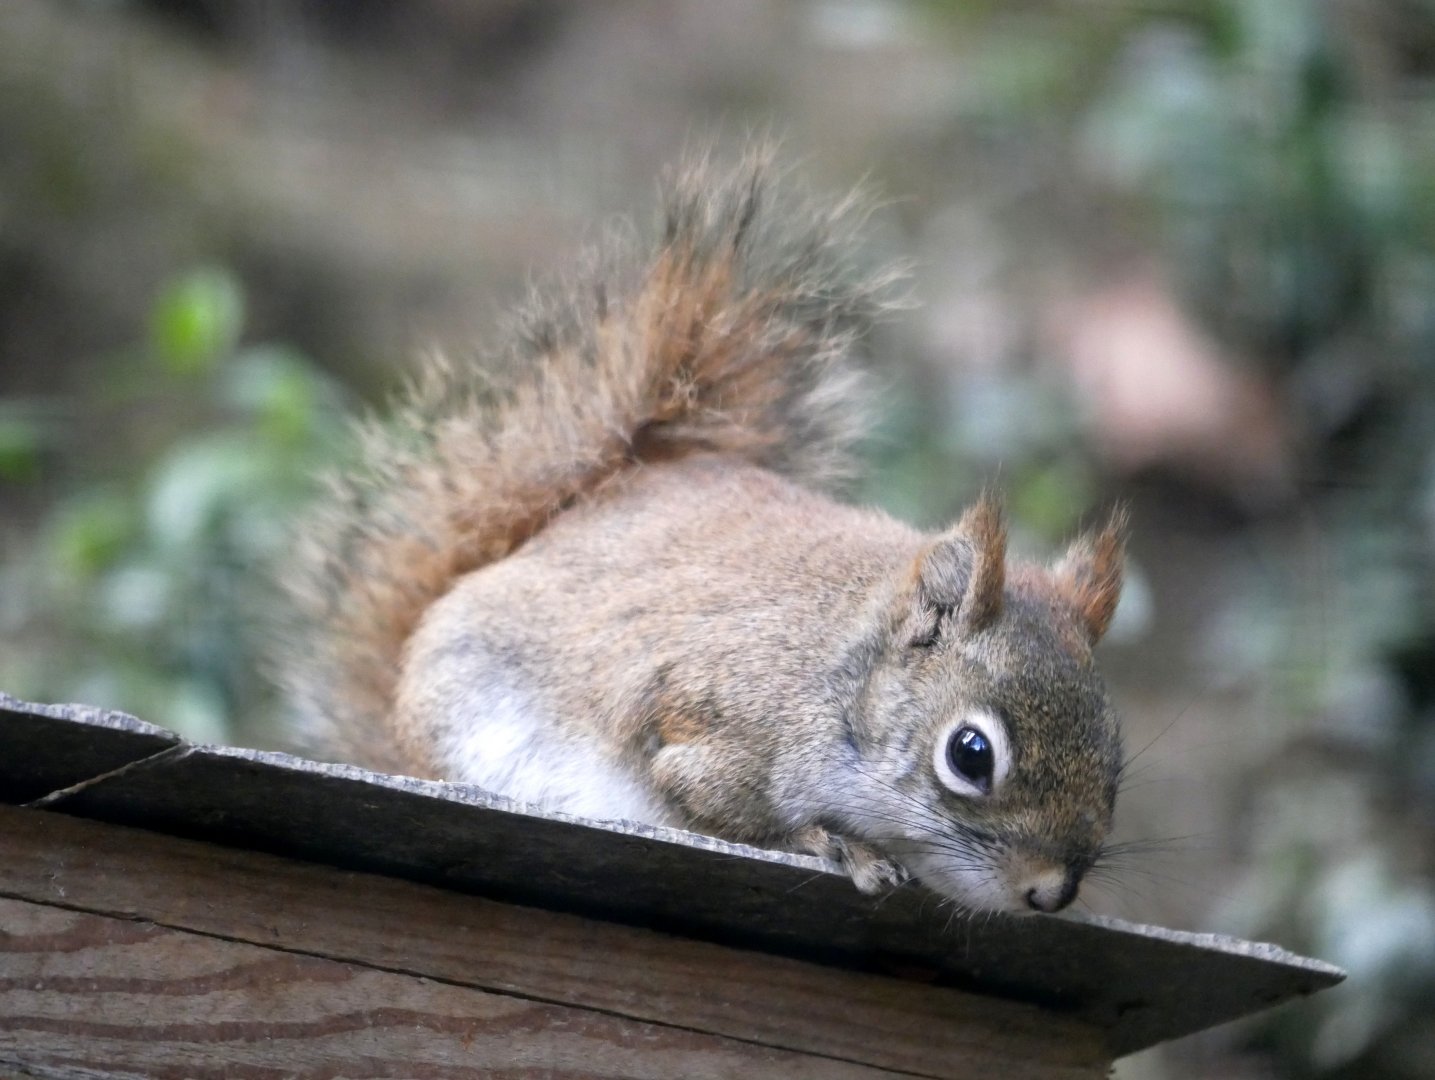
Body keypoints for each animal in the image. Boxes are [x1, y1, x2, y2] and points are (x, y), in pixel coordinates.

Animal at [278, 149, 1127, 916]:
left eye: (1114, 754)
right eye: (969, 754)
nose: (1050, 891)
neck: (841, 676)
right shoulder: (716, 729)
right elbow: (723, 811)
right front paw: (838, 845)